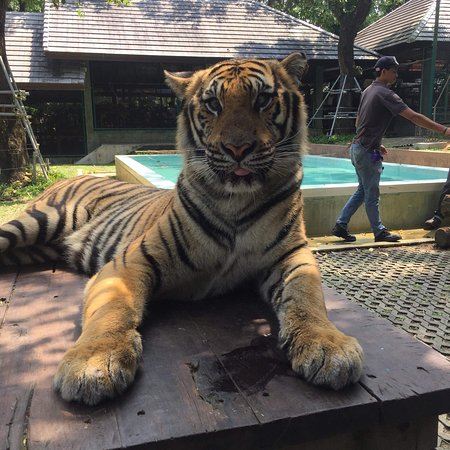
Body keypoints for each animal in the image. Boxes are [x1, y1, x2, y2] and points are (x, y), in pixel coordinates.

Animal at [0, 52, 363, 405]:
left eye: (262, 99)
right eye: (213, 104)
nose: (238, 149)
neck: (236, 201)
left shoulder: (291, 254)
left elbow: (306, 297)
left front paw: (328, 345)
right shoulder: (130, 262)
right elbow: (112, 307)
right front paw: (92, 364)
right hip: (38, 221)